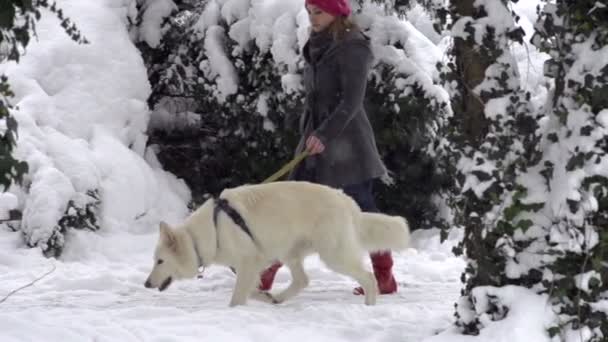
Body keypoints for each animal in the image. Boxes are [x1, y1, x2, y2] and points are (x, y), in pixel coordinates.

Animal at [144, 180, 408, 306]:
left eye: (160, 261)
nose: (146, 284)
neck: (209, 231)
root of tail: (347, 201)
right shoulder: (251, 265)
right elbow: (252, 290)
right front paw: (266, 297)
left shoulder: (249, 262)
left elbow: (238, 296)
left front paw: (235, 310)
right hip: (291, 253)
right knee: (303, 280)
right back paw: (279, 298)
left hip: (333, 255)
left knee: (368, 277)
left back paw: (369, 305)